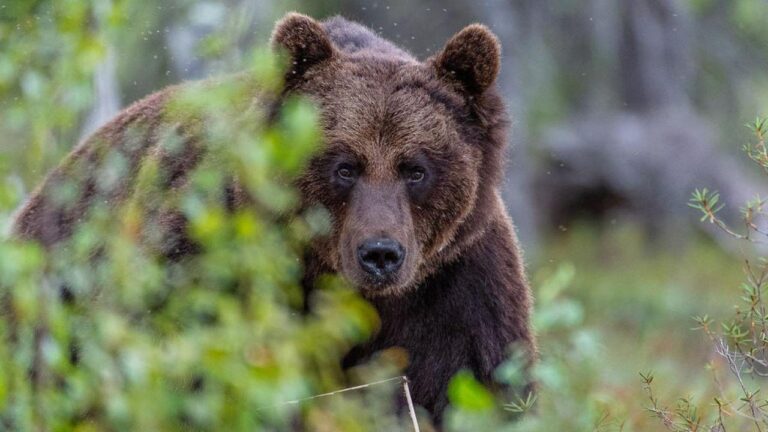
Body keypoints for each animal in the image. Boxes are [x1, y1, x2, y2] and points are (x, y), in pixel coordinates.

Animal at [13, 12, 540, 422]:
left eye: (416, 169)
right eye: (344, 166)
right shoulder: (206, 251)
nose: (380, 254)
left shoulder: (456, 285)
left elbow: (472, 385)